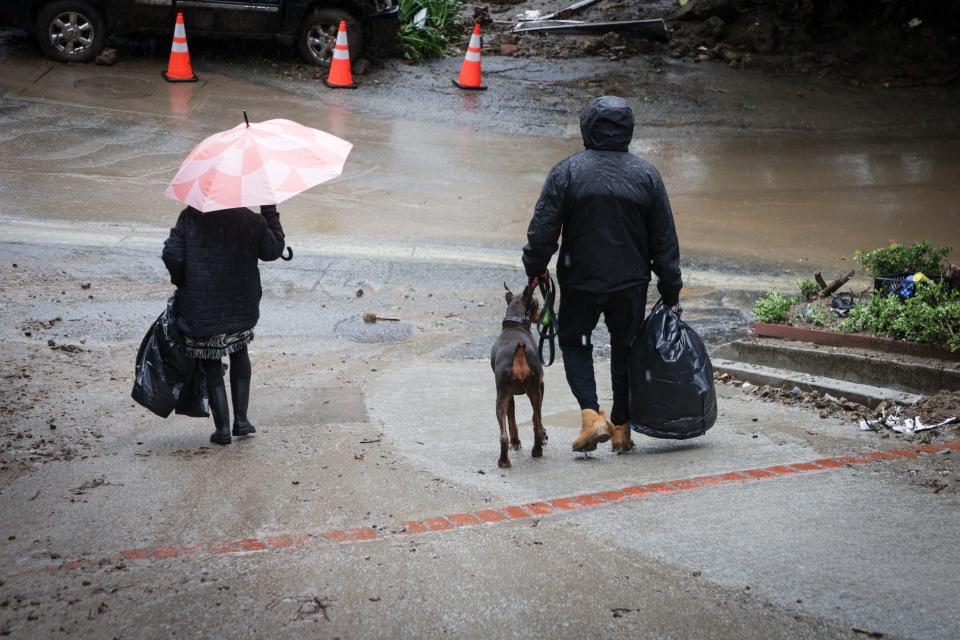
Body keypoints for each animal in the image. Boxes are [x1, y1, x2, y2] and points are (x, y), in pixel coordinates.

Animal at [492, 282, 544, 468]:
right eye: (537, 302)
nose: (542, 313)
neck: (515, 324)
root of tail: (519, 350)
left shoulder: (510, 395)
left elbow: (513, 418)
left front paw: (515, 442)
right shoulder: (541, 385)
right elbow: (533, 419)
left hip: (502, 396)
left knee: (503, 434)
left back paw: (505, 460)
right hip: (531, 391)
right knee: (536, 422)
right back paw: (536, 450)